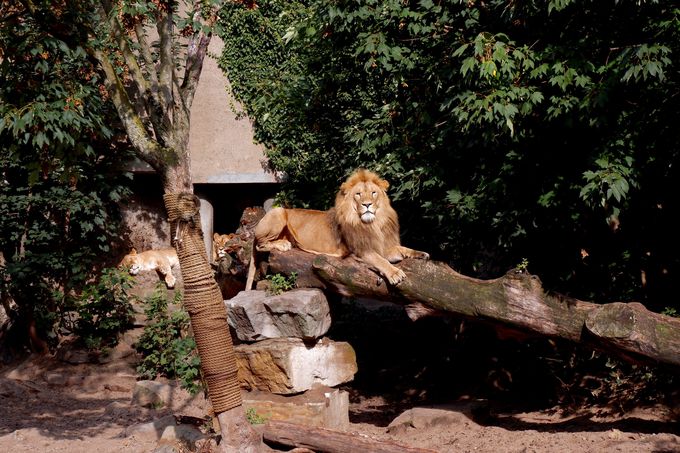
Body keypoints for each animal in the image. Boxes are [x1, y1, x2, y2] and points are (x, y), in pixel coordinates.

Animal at [246, 168, 430, 288]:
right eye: (358, 194)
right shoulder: (361, 250)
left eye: (373, 193)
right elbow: (380, 260)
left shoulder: (382, 245)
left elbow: (402, 249)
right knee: (260, 244)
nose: (367, 204)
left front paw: (421, 254)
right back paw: (283, 244)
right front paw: (394, 273)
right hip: (278, 212)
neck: (373, 224)